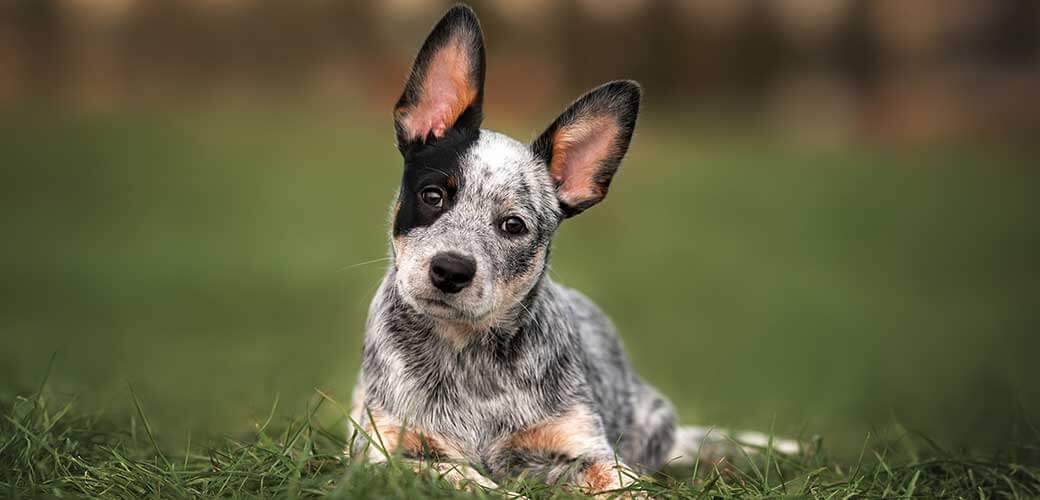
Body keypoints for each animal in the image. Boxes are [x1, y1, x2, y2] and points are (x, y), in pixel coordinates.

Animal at [349, 3, 794, 492]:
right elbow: (458, 475)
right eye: (433, 196)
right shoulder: (385, 449)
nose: (450, 270)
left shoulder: (583, 446)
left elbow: (623, 483)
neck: (468, 358)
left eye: (513, 225)